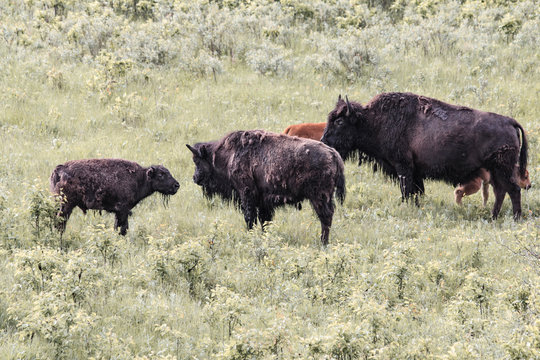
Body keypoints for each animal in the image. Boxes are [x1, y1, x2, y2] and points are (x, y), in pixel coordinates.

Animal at [49, 159, 179, 235]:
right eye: (161, 174)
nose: (176, 185)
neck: (140, 178)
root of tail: (59, 169)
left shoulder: (119, 212)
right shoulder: (123, 210)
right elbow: (123, 228)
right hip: (66, 205)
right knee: (60, 222)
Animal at [186, 129, 346, 245]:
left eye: (197, 161)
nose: (195, 178)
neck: (229, 156)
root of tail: (333, 154)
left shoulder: (246, 194)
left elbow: (249, 218)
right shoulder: (263, 202)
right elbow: (265, 221)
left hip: (319, 197)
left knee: (325, 217)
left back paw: (323, 242)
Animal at [320, 92, 528, 219]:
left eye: (339, 122)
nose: (324, 141)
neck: (373, 121)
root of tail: (509, 121)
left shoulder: (403, 167)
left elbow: (406, 191)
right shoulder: (415, 172)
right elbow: (416, 192)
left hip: (502, 169)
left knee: (513, 190)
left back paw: (515, 218)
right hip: (495, 171)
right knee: (501, 191)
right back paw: (494, 217)